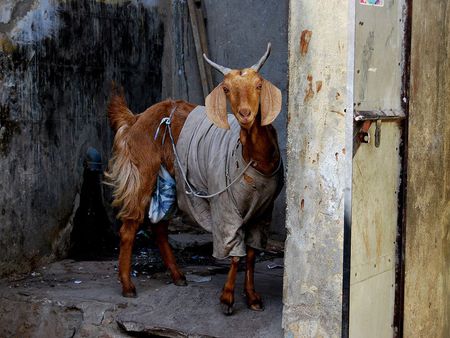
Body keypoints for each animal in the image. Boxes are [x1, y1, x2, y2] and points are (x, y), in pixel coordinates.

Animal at [104, 43, 282, 316]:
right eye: (226, 88)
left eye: (259, 84)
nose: (245, 114)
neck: (252, 159)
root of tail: (136, 119)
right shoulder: (225, 207)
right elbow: (234, 252)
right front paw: (227, 299)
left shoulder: (264, 210)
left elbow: (252, 253)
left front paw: (252, 298)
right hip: (143, 171)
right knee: (130, 226)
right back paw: (127, 286)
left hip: (170, 179)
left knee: (159, 227)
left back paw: (177, 276)